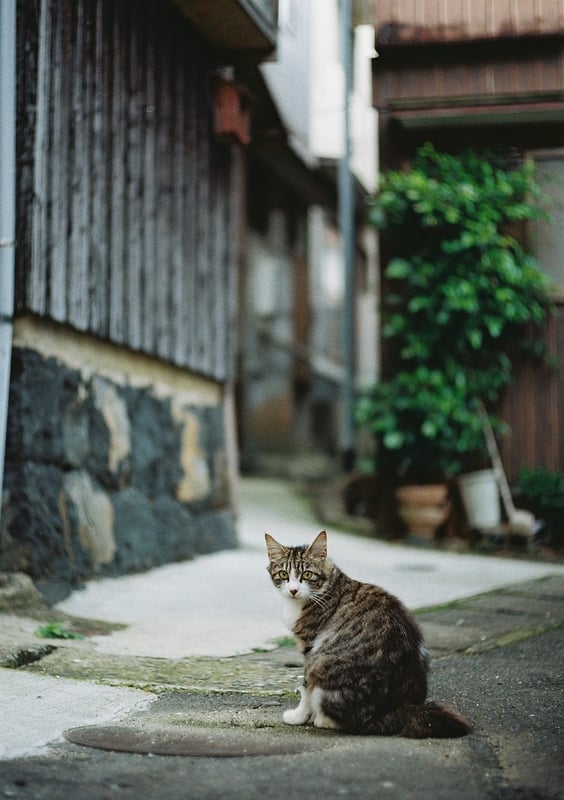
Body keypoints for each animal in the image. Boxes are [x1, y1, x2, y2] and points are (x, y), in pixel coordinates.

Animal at [264, 532, 472, 736]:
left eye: (307, 574)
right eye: (283, 574)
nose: (293, 590)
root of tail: (399, 706)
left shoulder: (310, 648)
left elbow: (305, 687)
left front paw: (298, 716)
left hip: (322, 663)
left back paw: (324, 720)